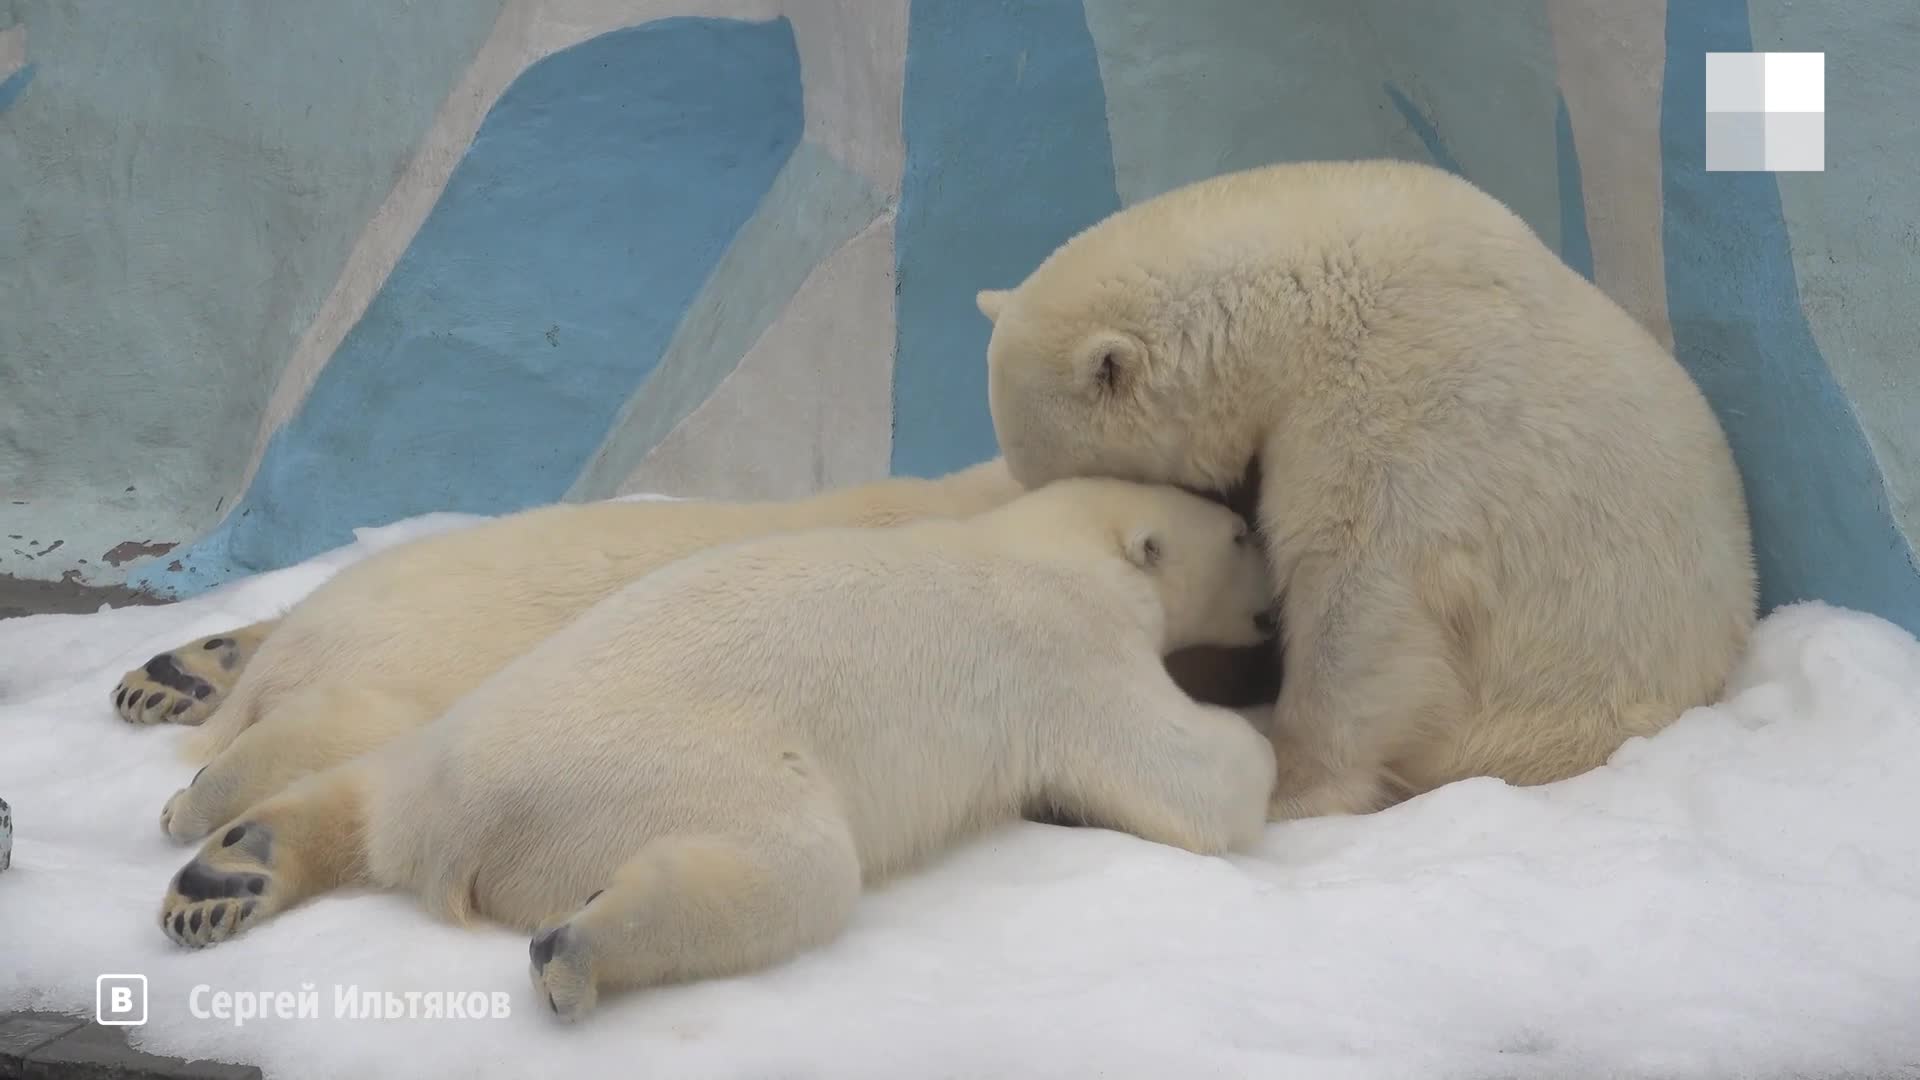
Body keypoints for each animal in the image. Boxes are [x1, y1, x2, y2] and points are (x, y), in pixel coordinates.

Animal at [157, 478, 1282, 1014]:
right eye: (1237, 533)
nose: (1277, 603)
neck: (1041, 538)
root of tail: (460, 830)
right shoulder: (1070, 650)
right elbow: (1190, 778)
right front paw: (1261, 738)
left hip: (449, 733)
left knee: (362, 785)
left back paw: (229, 866)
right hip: (682, 775)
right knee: (795, 869)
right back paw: (582, 947)